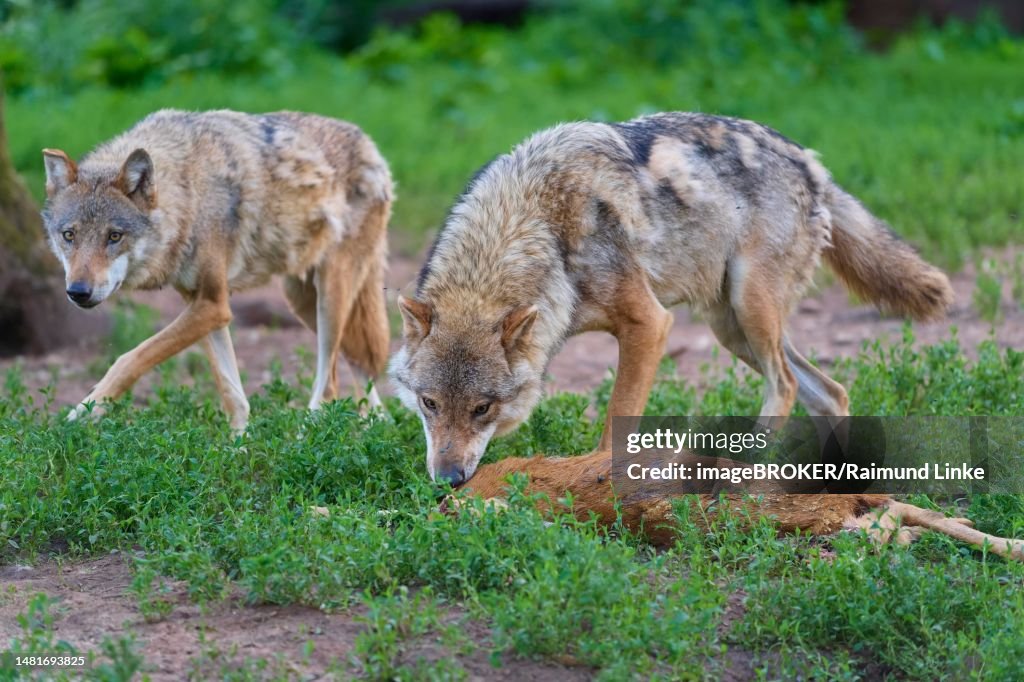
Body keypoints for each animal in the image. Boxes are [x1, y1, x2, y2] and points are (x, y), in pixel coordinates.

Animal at [41, 109, 393, 431]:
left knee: (330, 380)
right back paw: (374, 427)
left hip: (329, 299)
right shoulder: (201, 304)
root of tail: (370, 145)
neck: (189, 192)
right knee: (357, 366)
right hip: (304, 304)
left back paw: (311, 438)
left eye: (114, 236)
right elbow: (233, 394)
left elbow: (129, 358)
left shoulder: (213, 305)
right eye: (69, 235)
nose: (78, 292)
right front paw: (238, 447)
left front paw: (81, 414)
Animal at [390, 112, 953, 485]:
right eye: (430, 403)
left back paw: (748, 465)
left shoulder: (649, 324)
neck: (540, 222)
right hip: (731, 329)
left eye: (483, 408)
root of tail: (810, 163)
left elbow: (616, 421)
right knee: (830, 391)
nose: (447, 479)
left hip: (750, 311)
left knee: (789, 384)